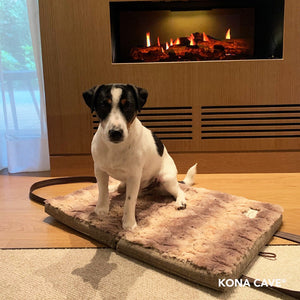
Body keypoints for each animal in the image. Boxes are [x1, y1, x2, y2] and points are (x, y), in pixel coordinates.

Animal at [83, 84, 196, 230]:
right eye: (103, 105)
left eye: (128, 106)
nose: (116, 133)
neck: (115, 148)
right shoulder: (100, 170)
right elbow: (102, 191)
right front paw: (101, 209)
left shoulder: (133, 176)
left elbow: (130, 201)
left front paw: (129, 223)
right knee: (120, 188)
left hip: (166, 179)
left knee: (180, 191)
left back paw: (180, 202)